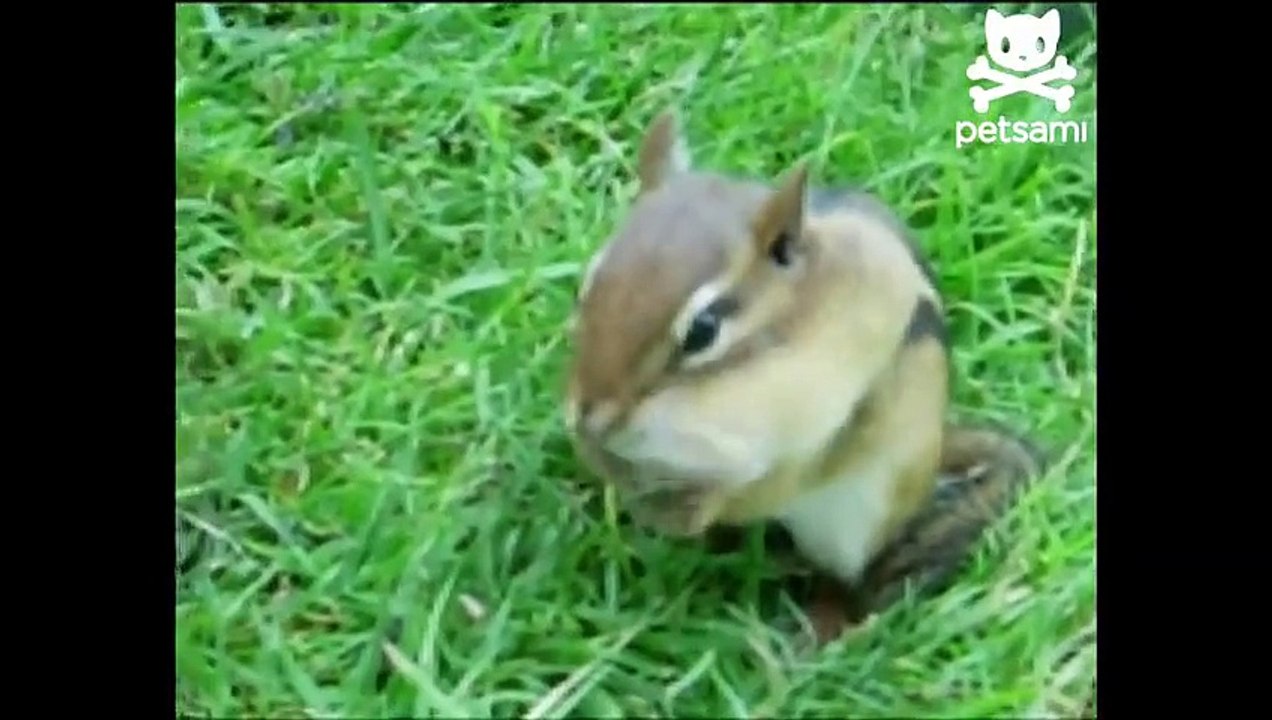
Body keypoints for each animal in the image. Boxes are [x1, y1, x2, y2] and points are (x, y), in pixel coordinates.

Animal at [564, 109, 1045, 645]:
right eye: (587, 288)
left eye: (703, 330)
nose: (592, 418)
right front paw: (609, 470)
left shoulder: (833, 422)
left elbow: (775, 480)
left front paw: (691, 509)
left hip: (859, 519)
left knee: (841, 577)